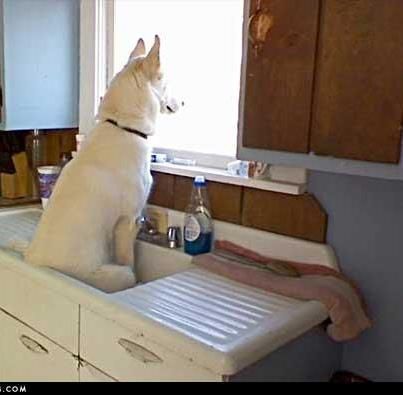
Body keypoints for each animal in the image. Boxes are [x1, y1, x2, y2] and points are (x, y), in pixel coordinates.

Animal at [24, 35, 180, 292]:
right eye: (166, 82)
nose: (184, 102)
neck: (124, 127)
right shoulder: (128, 221)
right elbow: (130, 262)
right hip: (116, 274)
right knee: (126, 273)